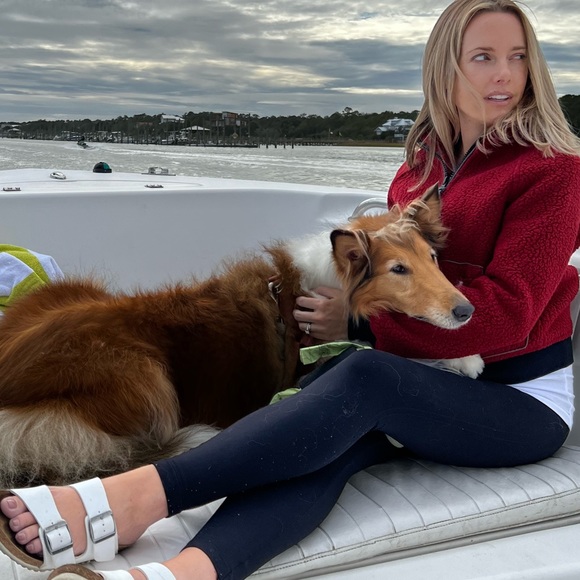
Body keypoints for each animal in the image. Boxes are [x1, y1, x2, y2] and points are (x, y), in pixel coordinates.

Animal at [0, 185, 482, 487]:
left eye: (432, 258)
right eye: (398, 269)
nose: (467, 311)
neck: (322, 287)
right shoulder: (313, 364)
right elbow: (387, 355)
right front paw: (466, 358)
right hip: (144, 372)